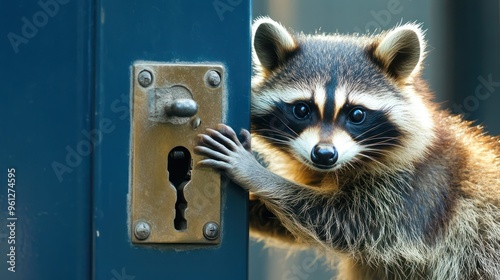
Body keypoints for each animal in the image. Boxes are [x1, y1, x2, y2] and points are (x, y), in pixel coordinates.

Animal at [194, 18, 500, 280]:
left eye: (357, 114)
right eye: (301, 110)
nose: (324, 154)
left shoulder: (415, 193)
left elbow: (342, 222)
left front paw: (254, 173)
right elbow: (293, 225)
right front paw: (256, 210)